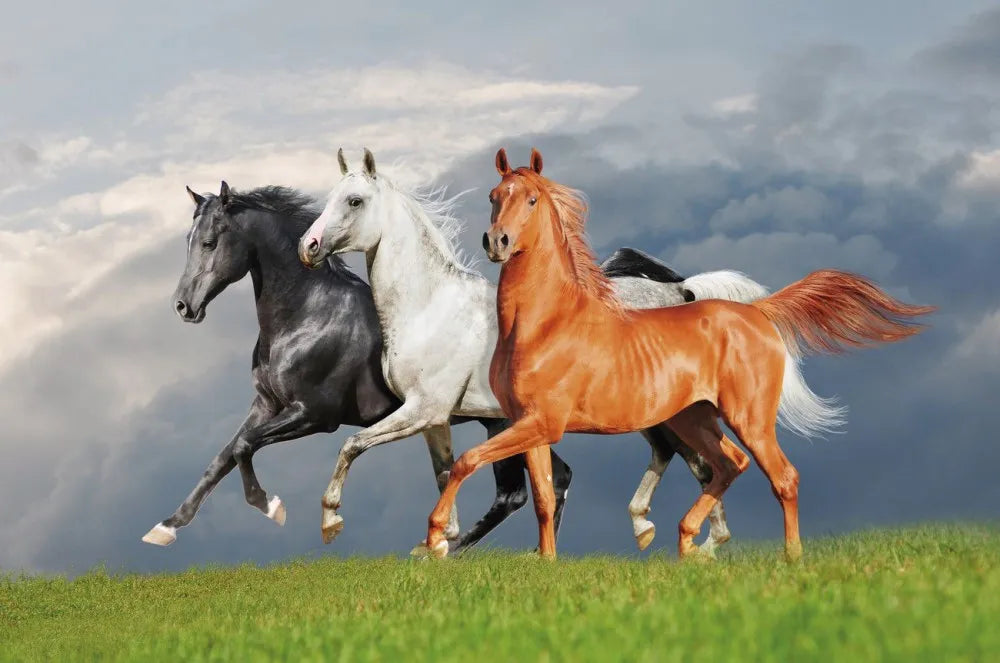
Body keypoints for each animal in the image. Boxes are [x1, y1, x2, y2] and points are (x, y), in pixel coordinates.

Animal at [143, 182, 567, 550]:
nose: (183, 306)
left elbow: (246, 446)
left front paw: (270, 506)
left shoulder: (314, 415)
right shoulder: (266, 404)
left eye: (209, 242)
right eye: (188, 240)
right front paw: (166, 527)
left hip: (500, 422)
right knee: (555, 477)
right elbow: (223, 457)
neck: (308, 315)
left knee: (513, 493)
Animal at [297, 148, 770, 554]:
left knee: (700, 463)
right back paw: (670, 533)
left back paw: (694, 541)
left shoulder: (423, 410)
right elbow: (445, 473)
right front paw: (439, 542)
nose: (309, 247)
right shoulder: (434, 420)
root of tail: (681, 291)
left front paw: (331, 521)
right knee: (688, 459)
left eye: (354, 201)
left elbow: (352, 445)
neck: (429, 306)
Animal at [414, 147, 934, 561]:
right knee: (727, 465)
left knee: (781, 476)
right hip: (694, 418)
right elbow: (541, 497)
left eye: (532, 199)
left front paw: (435, 538)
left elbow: (467, 461)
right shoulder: (530, 425)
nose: (496, 242)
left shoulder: (543, 422)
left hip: (747, 418)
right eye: (493, 196)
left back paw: (788, 556)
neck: (545, 324)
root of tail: (757, 312)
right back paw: (686, 542)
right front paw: (545, 562)